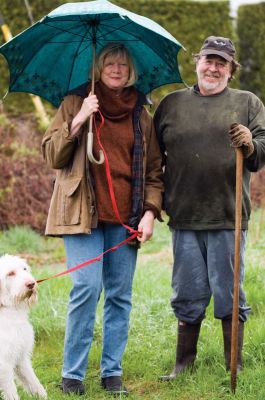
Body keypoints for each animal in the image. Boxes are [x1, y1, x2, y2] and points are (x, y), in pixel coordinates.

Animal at [0, 256, 46, 400]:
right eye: (10, 273)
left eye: (24, 269)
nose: (31, 284)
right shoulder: (3, 362)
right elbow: (10, 390)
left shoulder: (20, 356)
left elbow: (31, 379)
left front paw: (41, 395)